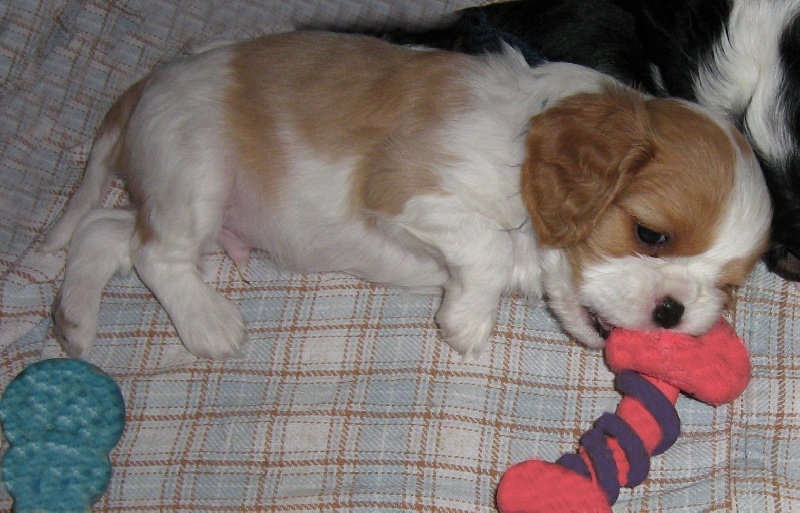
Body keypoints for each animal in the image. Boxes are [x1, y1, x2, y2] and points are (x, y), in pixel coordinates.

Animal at [41, 31, 771, 360]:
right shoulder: (405, 184)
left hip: (179, 195)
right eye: (650, 235)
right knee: (154, 253)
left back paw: (74, 323)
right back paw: (210, 325)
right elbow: (486, 245)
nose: (674, 311)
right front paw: (468, 322)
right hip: (197, 167)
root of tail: (151, 82)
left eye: (726, 286)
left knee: (108, 231)